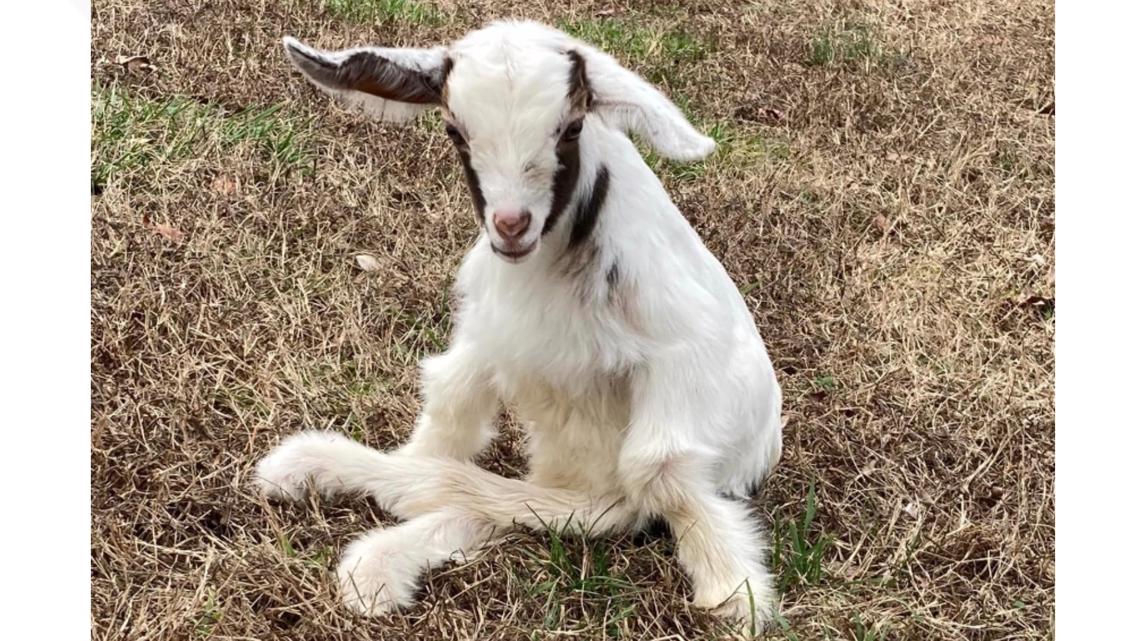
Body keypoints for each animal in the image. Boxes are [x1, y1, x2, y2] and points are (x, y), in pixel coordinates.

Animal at [256, 19, 784, 631]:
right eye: (454, 130)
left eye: (572, 126)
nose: (511, 225)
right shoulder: (490, 332)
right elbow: (452, 407)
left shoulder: (682, 349)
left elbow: (660, 472)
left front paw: (735, 593)